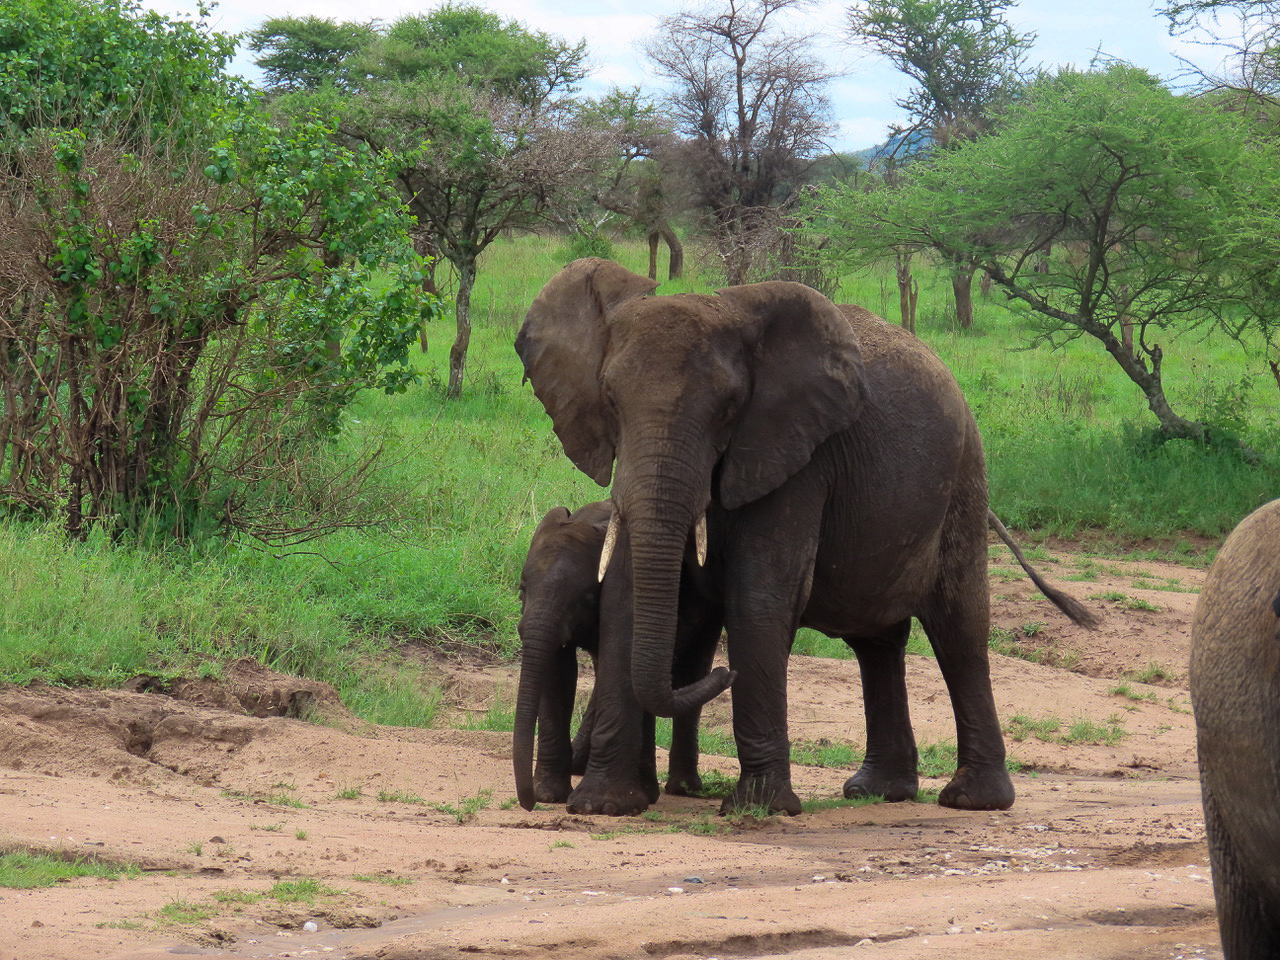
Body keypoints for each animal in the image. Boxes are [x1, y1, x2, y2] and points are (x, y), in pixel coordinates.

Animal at [512, 501, 721, 813]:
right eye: (522, 590)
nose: (527, 805)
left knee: (692, 668)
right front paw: (547, 795)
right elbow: (557, 672)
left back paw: (681, 788)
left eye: (587, 598)